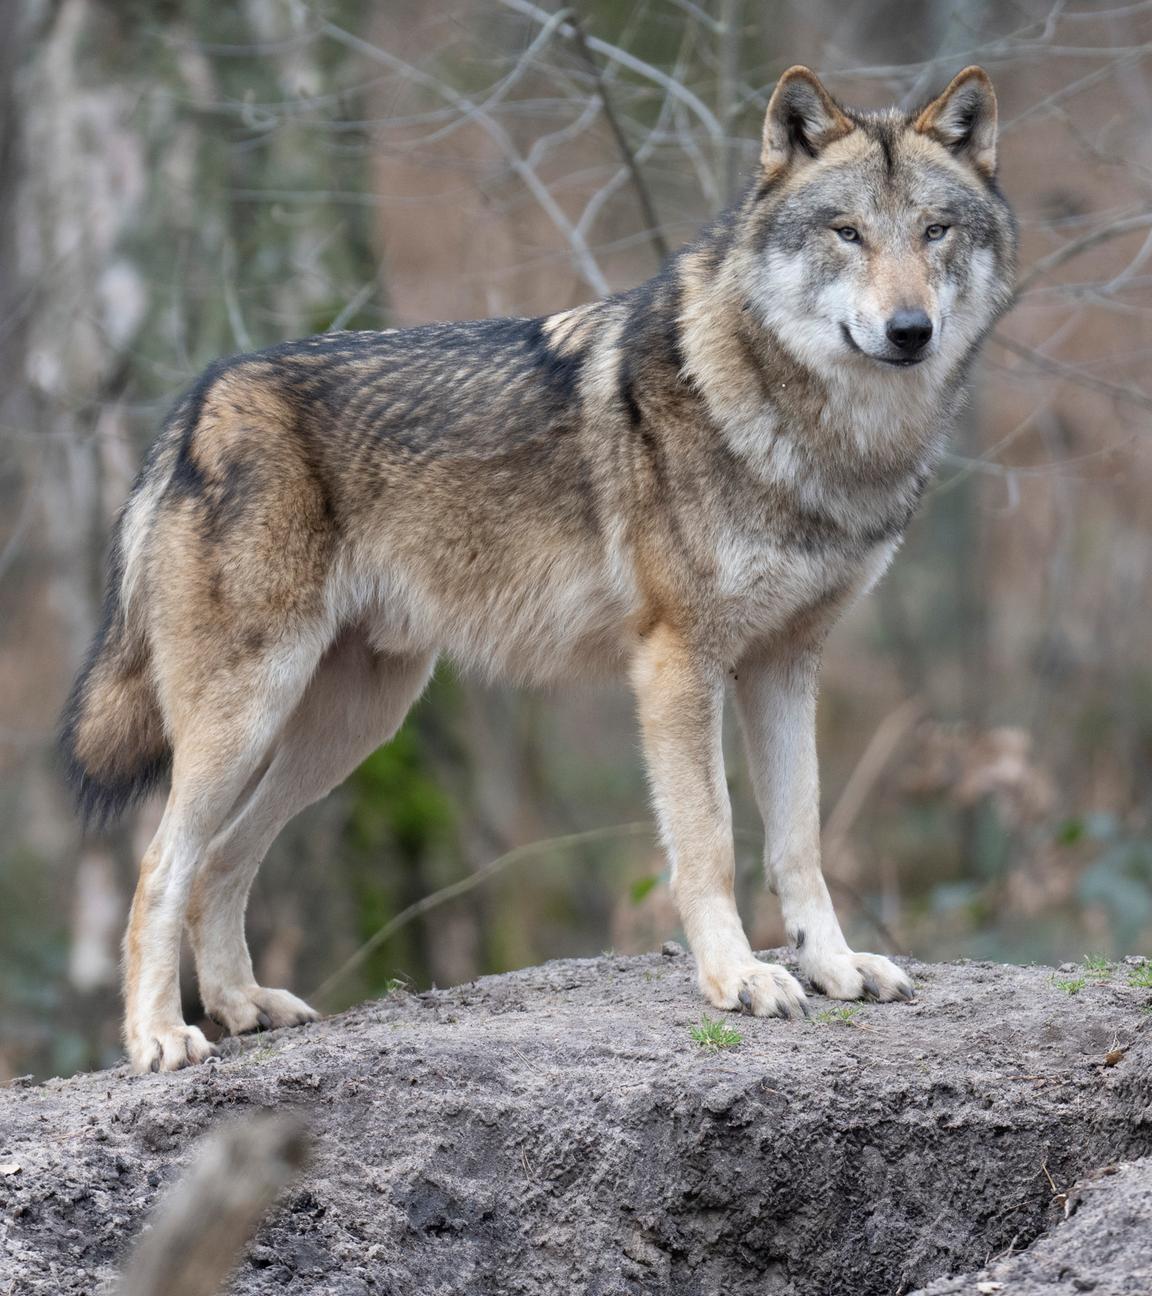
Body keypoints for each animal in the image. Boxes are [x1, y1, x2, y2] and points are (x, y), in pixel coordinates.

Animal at [62, 65, 1015, 1067]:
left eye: (934, 231)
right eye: (847, 232)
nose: (909, 330)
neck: (820, 439)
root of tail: (197, 402)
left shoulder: (786, 666)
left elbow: (799, 841)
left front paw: (833, 966)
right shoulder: (678, 664)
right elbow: (710, 841)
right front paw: (737, 979)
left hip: (351, 726)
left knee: (222, 860)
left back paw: (245, 1005)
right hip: (250, 717)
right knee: (161, 865)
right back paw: (159, 1037)